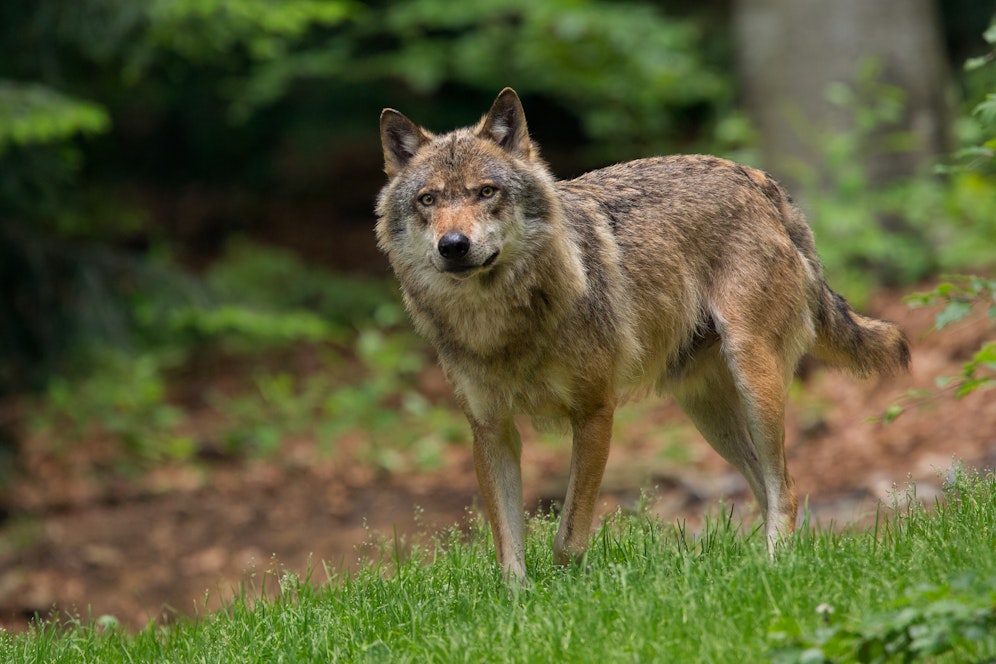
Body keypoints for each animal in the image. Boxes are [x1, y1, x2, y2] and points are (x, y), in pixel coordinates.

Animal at [375, 88, 909, 581]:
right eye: (428, 200)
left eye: (486, 192)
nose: (453, 246)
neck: (500, 326)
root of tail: (756, 178)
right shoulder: (490, 431)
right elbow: (508, 551)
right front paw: (519, 606)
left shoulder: (595, 413)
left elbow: (569, 536)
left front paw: (565, 597)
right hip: (708, 413)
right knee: (765, 485)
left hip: (754, 382)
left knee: (788, 488)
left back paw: (777, 567)